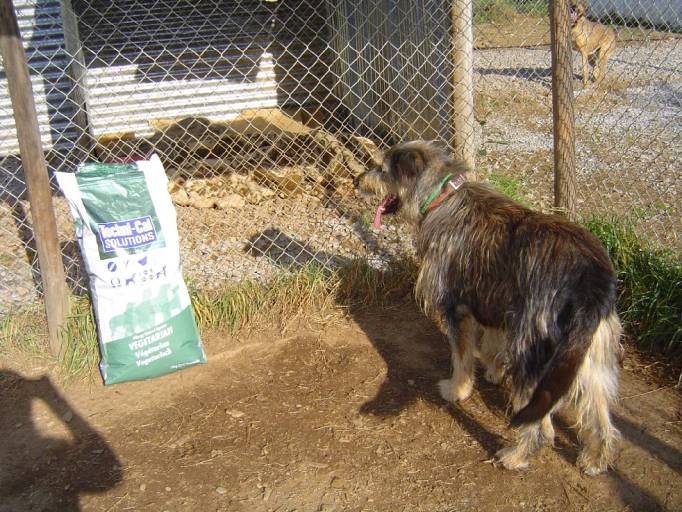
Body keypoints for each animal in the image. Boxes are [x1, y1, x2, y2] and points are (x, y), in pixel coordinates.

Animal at [358, 141, 620, 476]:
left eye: (382, 169)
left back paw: (516, 455)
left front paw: (457, 390)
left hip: (530, 349)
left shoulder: (456, 308)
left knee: (538, 422)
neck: (441, 196)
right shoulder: (494, 304)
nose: (359, 180)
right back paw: (595, 459)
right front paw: (494, 371)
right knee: (598, 414)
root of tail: (591, 277)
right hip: (590, 355)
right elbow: (491, 344)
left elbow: (461, 357)